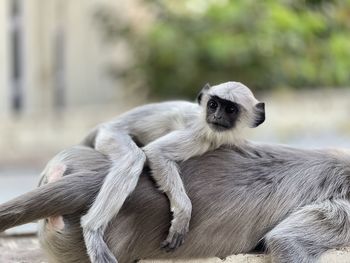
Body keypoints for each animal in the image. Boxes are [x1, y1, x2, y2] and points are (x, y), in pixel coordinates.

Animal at [80, 81, 266, 262]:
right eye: (213, 105)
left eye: (230, 109)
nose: (217, 116)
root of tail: (106, 124)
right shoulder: (199, 136)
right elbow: (156, 152)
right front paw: (183, 213)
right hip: (111, 135)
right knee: (133, 158)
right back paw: (91, 229)